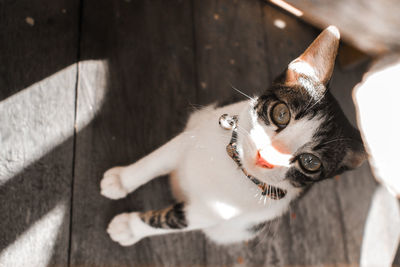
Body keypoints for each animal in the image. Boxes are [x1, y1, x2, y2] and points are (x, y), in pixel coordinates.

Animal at [99, 26, 366, 247]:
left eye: (310, 162)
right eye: (281, 114)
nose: (266, 156)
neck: (235, 168)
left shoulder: (213, 213)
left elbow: (173, 220)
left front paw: (128, 227)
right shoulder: (193, 136)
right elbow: (155, 160)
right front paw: (121, 180)